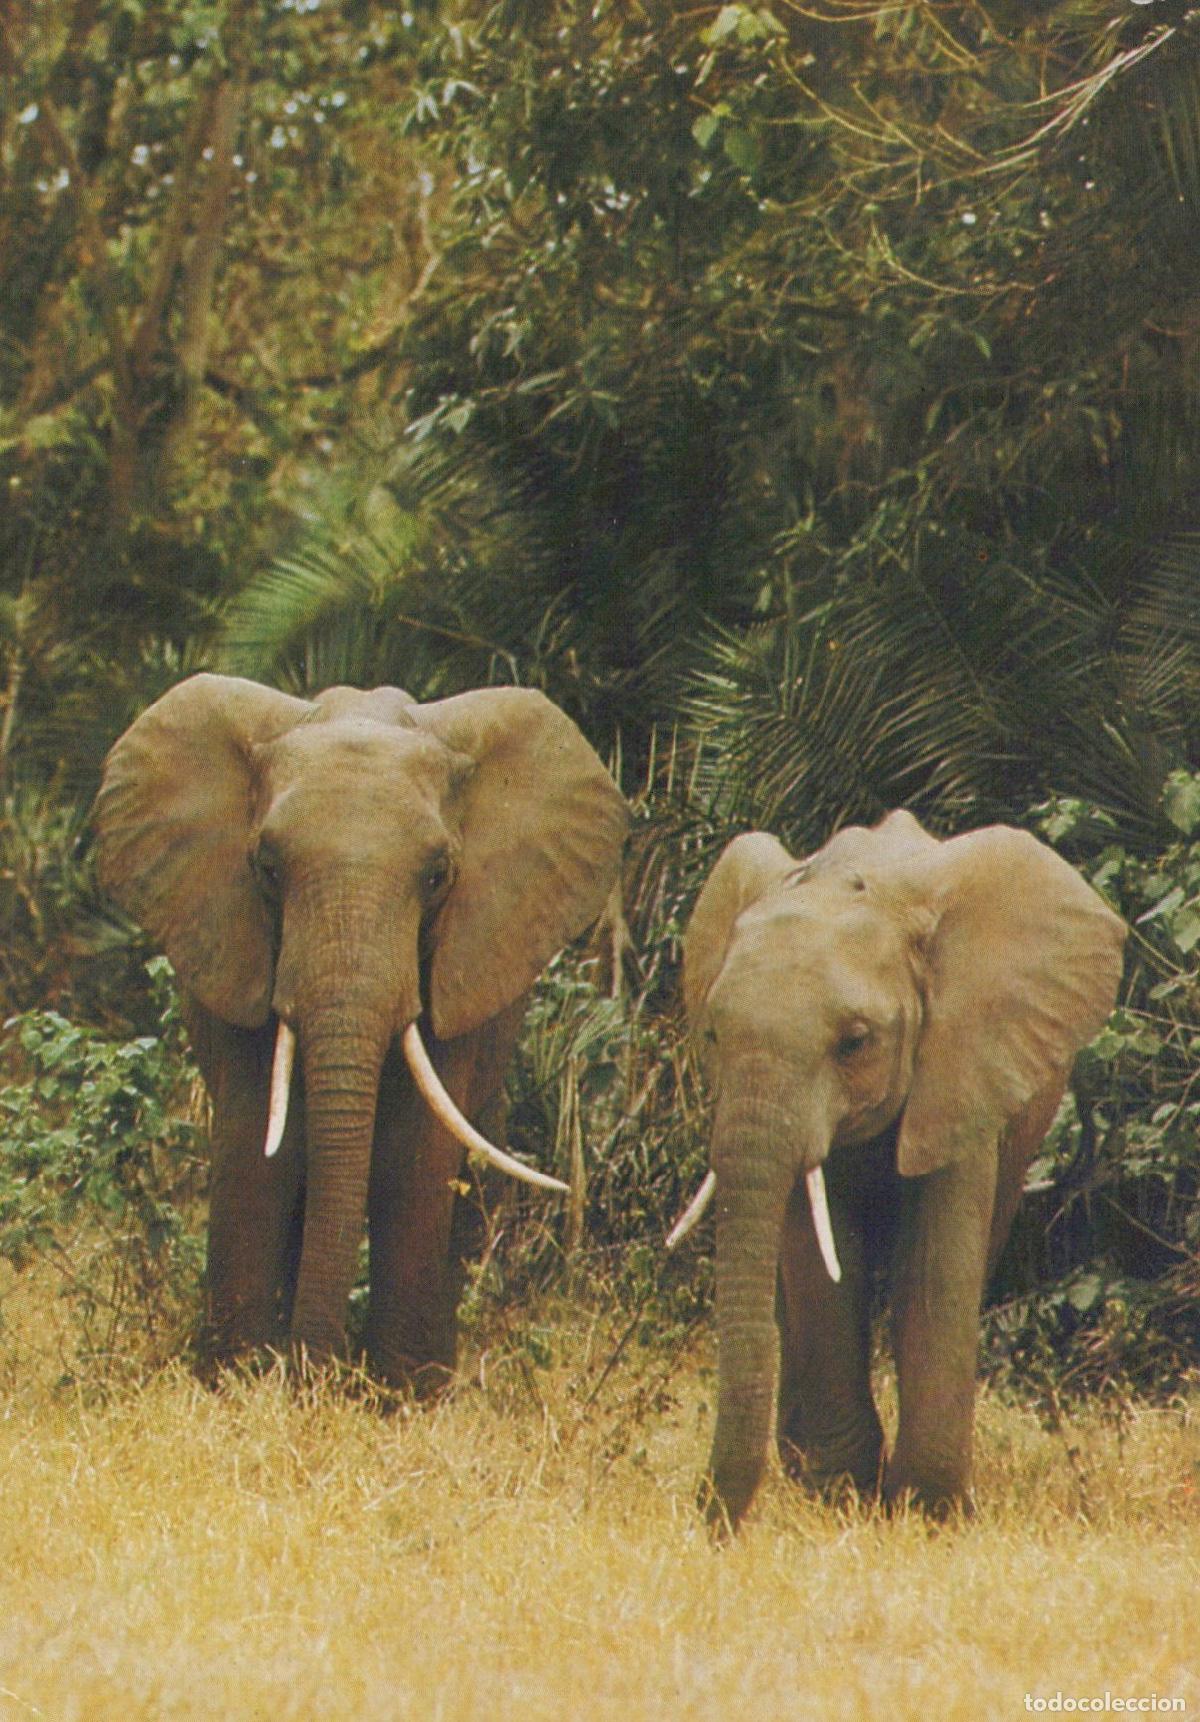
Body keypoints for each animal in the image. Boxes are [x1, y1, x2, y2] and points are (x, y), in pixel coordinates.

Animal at [94, 672, 628, 1390]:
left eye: (438, 876)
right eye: (266, 868)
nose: (313, 1374)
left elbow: (416, 1154)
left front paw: (401, 1395)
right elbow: (257, 1144)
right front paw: (239, 1382)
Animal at [672, 810, 1125, 1530]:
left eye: (855, 1042)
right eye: (713, 1035)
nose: (711, 1527)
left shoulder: (965, 1062)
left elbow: (934, 1269)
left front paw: (924, 1512)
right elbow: (822, 1268)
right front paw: (840, 1495)